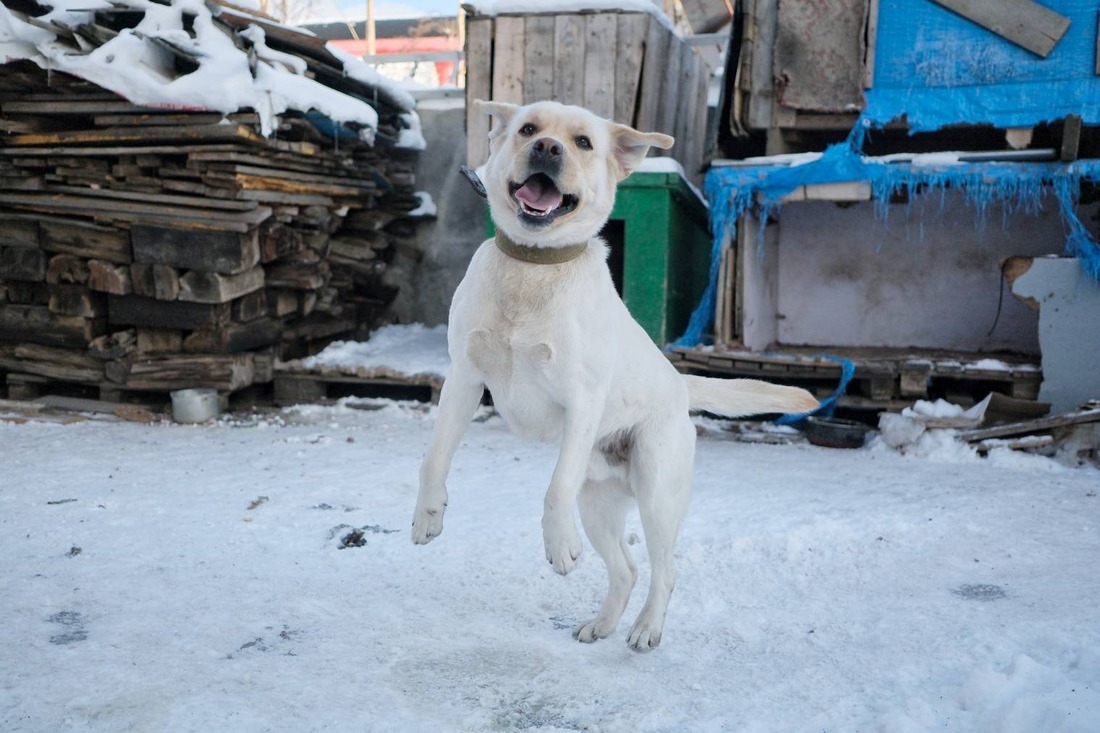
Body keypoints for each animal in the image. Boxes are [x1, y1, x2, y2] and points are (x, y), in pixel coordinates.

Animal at [413, 98, 818, 651]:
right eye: (528, 129)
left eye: (583, 142)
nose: (547, 148)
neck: (534, 268)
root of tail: (679, 384)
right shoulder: (464, 380)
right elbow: (433, 459)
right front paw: (427, 516)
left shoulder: (582, 400)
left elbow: (555, 487)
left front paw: (559, 545)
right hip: (599, 504)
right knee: (626, 570)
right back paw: (602, 626)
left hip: (656, 495)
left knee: (664, 570)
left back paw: (646, 629)